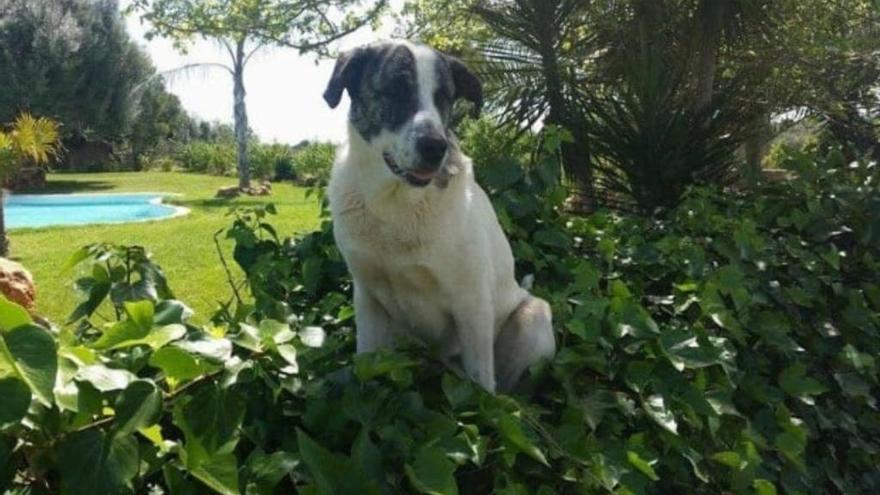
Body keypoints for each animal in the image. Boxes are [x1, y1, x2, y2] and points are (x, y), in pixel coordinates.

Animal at [324, 39, 556, 396]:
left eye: (444, 97)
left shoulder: (472, 303)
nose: (435, 146)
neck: (398, 204)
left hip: (533, 317)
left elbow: (483, 387)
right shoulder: (368, 297)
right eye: (396, 89)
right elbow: (366, 364)